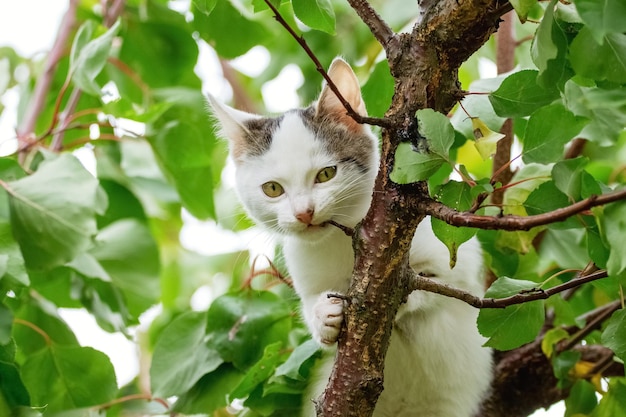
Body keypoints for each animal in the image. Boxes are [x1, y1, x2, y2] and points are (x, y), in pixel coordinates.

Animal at [207, 58, 490, 416]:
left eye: (326, 174)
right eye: (272, 189)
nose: (304, 213)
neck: (342, 239)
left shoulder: (460, 260)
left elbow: (443, 283)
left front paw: (407, 293)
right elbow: (311, 305)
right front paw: (323, 316)